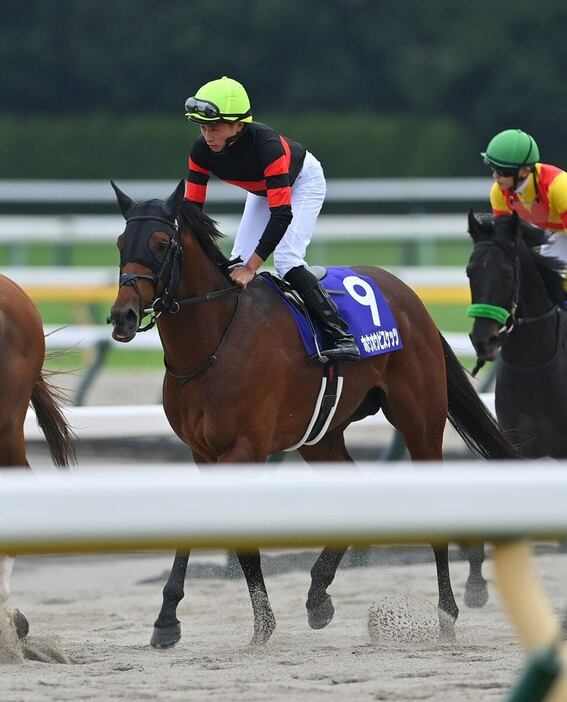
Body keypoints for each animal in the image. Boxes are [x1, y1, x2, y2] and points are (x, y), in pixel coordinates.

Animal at [108, 180, 520, 648]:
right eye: (121, 242)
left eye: (161, 243)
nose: (122, 316)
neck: (212, 342)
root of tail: (410, 297)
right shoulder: (203, 453)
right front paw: (178, 619)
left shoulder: (244, 449)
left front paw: (236, 622)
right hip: (321, 435)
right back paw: (318, 595)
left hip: (420, 421)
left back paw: (447, 614)